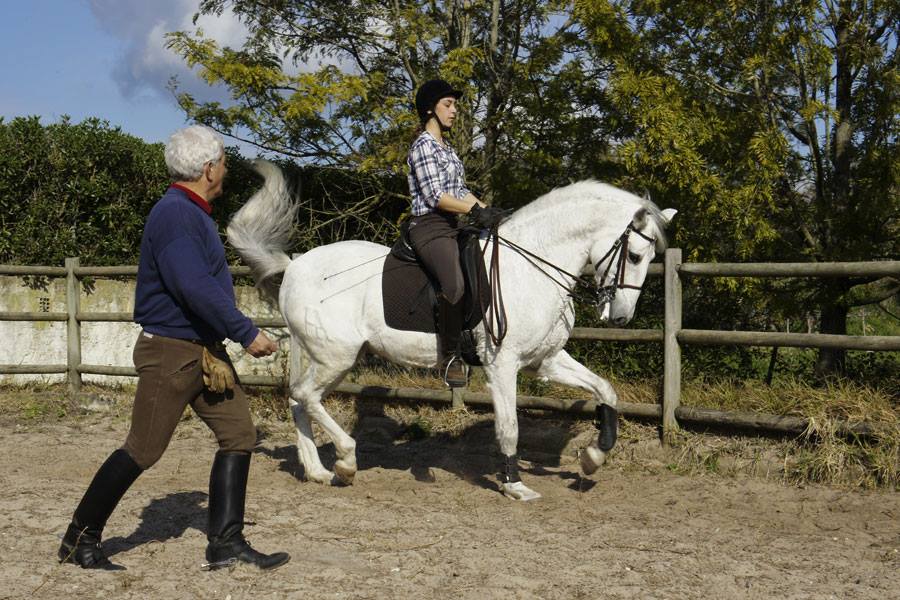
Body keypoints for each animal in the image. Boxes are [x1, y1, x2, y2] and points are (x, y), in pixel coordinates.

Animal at [227, 161, 676, 502]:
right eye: (636, 256)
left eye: (648, 257)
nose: (620, 318)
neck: (530, 266)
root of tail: (295, 266)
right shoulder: (502, 365)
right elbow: (509, 427)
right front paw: (515, 485)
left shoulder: (545, 361)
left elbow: (606, 391)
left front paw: (593, 457)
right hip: (335, 356)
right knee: (306, 396)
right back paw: (346, 461)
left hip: (325, 356)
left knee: (298, 399)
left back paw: (317, 471)